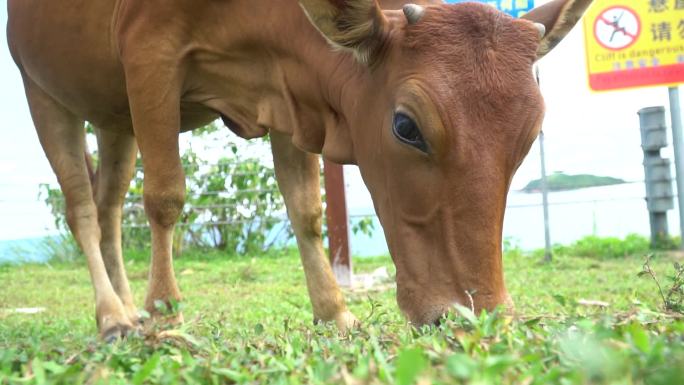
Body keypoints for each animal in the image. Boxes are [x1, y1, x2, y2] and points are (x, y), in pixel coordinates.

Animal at [5, 0, 592, 340]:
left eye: (528, 136)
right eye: (406, 126)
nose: (475, 318)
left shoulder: (286, 93)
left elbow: (307, 211)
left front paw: (334, 312)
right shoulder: (148, 53)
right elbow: (166, 196)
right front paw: (166, 313)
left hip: (115, 119)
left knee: (107, 210)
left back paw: (126, 311)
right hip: (43, 92)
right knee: (82, 208)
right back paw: (112, 315)